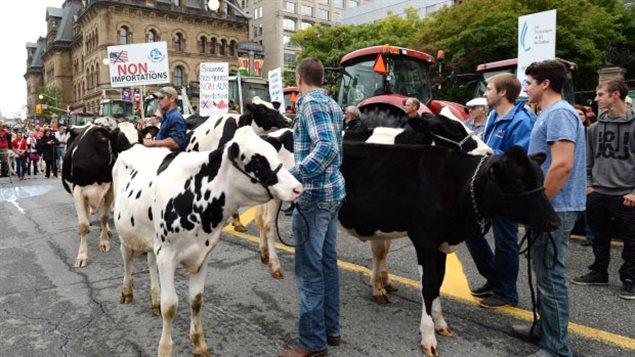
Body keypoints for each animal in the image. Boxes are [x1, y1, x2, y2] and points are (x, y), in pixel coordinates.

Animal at [61, 120, 137, 268]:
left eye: (141, 138)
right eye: (121, 141)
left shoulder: (110, 189)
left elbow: (104, 217)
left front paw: (104, 242)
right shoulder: (78, 191)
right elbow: (83, 224)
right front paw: (82, 256)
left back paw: (106, 230)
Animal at [112, 126, 304, 356]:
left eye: (275, 153)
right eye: (257, 161)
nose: (298, 188)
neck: (195, 195)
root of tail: (136, 147)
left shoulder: (202, 255)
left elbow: (196, 300)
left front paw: (199, 343)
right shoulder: (166, 255)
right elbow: (170, 306)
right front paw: (165, 348)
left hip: (151, 237)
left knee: (149, 262)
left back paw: (154, 299)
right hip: (125, 232)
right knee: (126, 259)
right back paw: (127, 291)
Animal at [340, 143, 560, 354]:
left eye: (541, 180)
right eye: (518, 182)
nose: (554, 222)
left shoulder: (441, 245)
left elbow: (438, 282)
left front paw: (440, 324)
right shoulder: (425, 241)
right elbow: (428, 286)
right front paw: (428, 336)